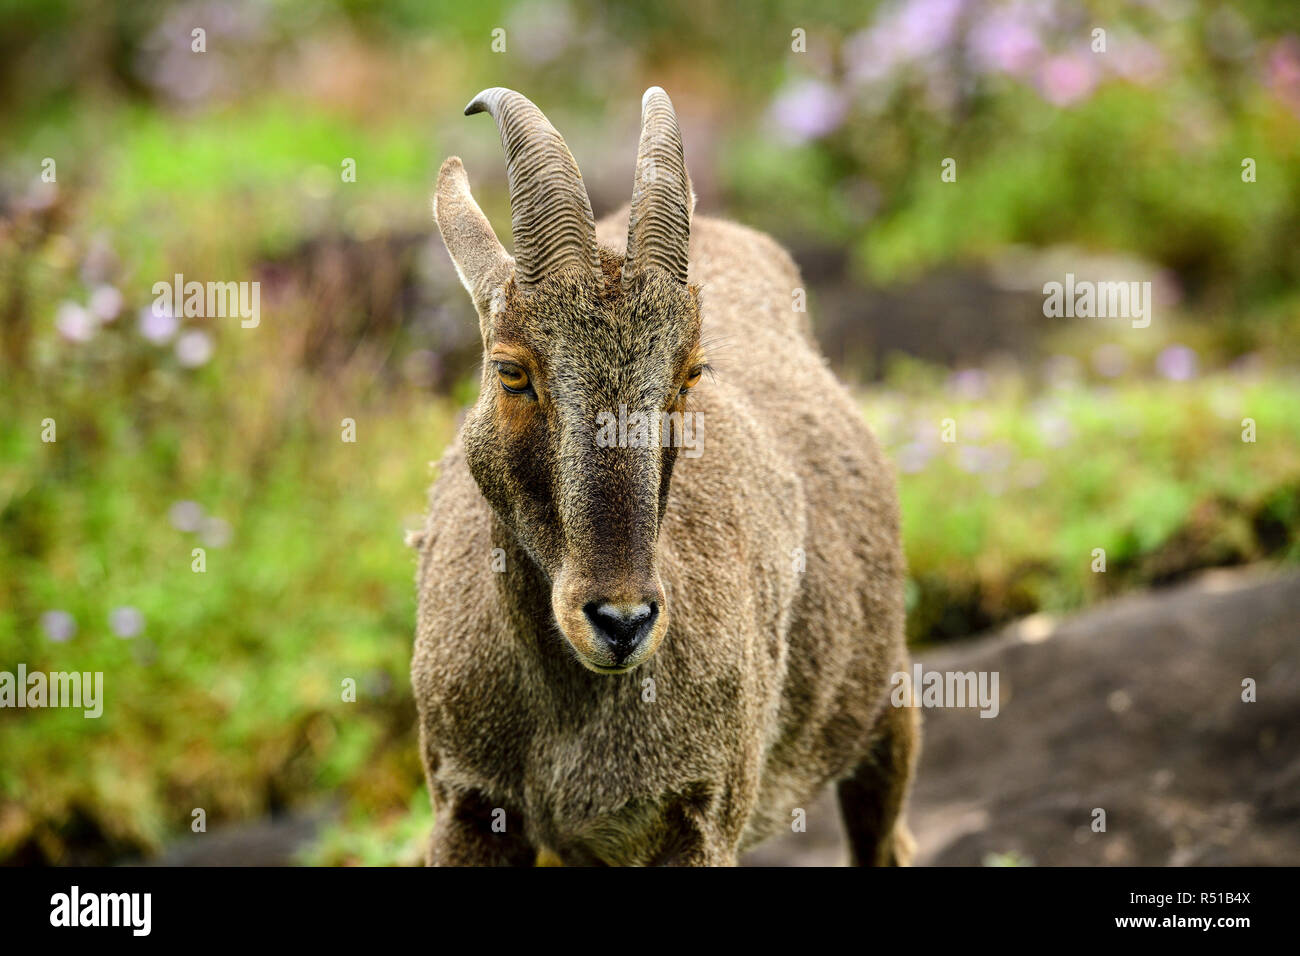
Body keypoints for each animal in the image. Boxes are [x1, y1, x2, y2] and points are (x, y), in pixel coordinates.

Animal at [410, 87, 920, 868]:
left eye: (690, 374)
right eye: (511, 370)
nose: (621, 622)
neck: (567, 709)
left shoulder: (700, 815)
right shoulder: (466, 804)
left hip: (884, 709)